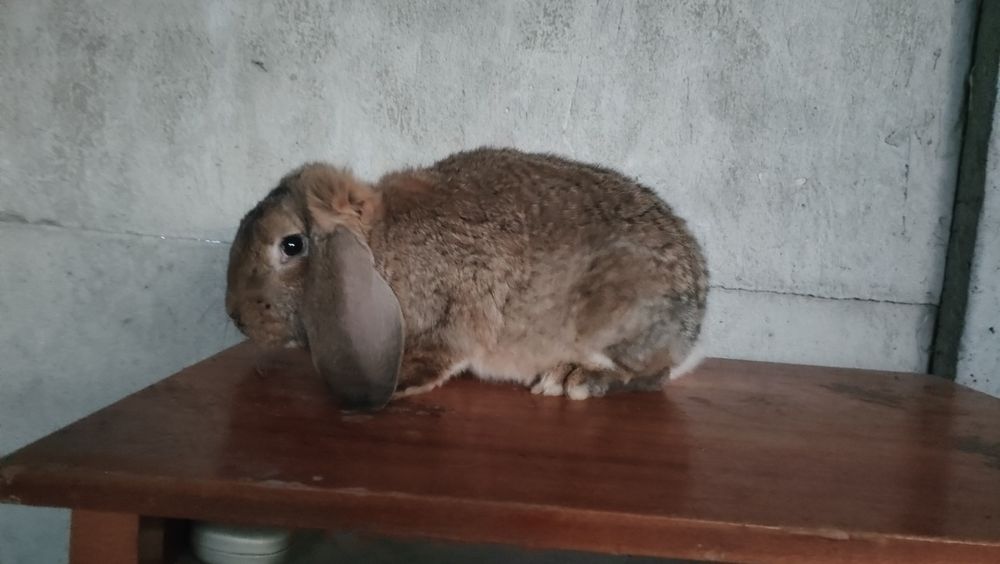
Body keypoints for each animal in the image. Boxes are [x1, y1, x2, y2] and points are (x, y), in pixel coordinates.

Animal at [226, 147, 708, 410]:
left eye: (291, 245)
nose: (235, 316)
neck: (380, 244)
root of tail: (693, 327)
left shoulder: (452, 315)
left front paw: (399, 385)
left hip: (616, 316)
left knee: (649, 374)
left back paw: (571, 378)